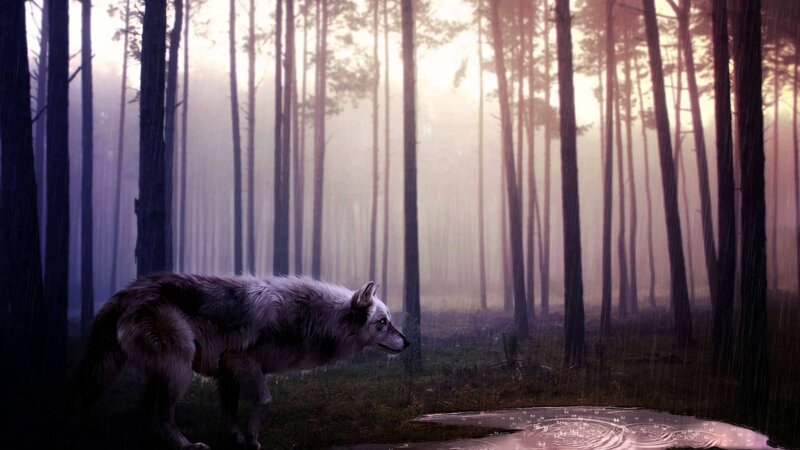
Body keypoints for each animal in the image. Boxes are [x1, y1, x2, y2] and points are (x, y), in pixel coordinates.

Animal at [70, 274, 409, 450]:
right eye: (383, 323)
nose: (408, 342)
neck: (307, 317)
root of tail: (125, 294)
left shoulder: (227, 373)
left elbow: (230, 411)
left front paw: (236, 438)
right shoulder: (240, 361)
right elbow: (265, 400)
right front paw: (254, 438)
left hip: (162, 373)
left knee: (148, 415)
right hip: (178, 371)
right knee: (162, 417)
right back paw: (187, 446)